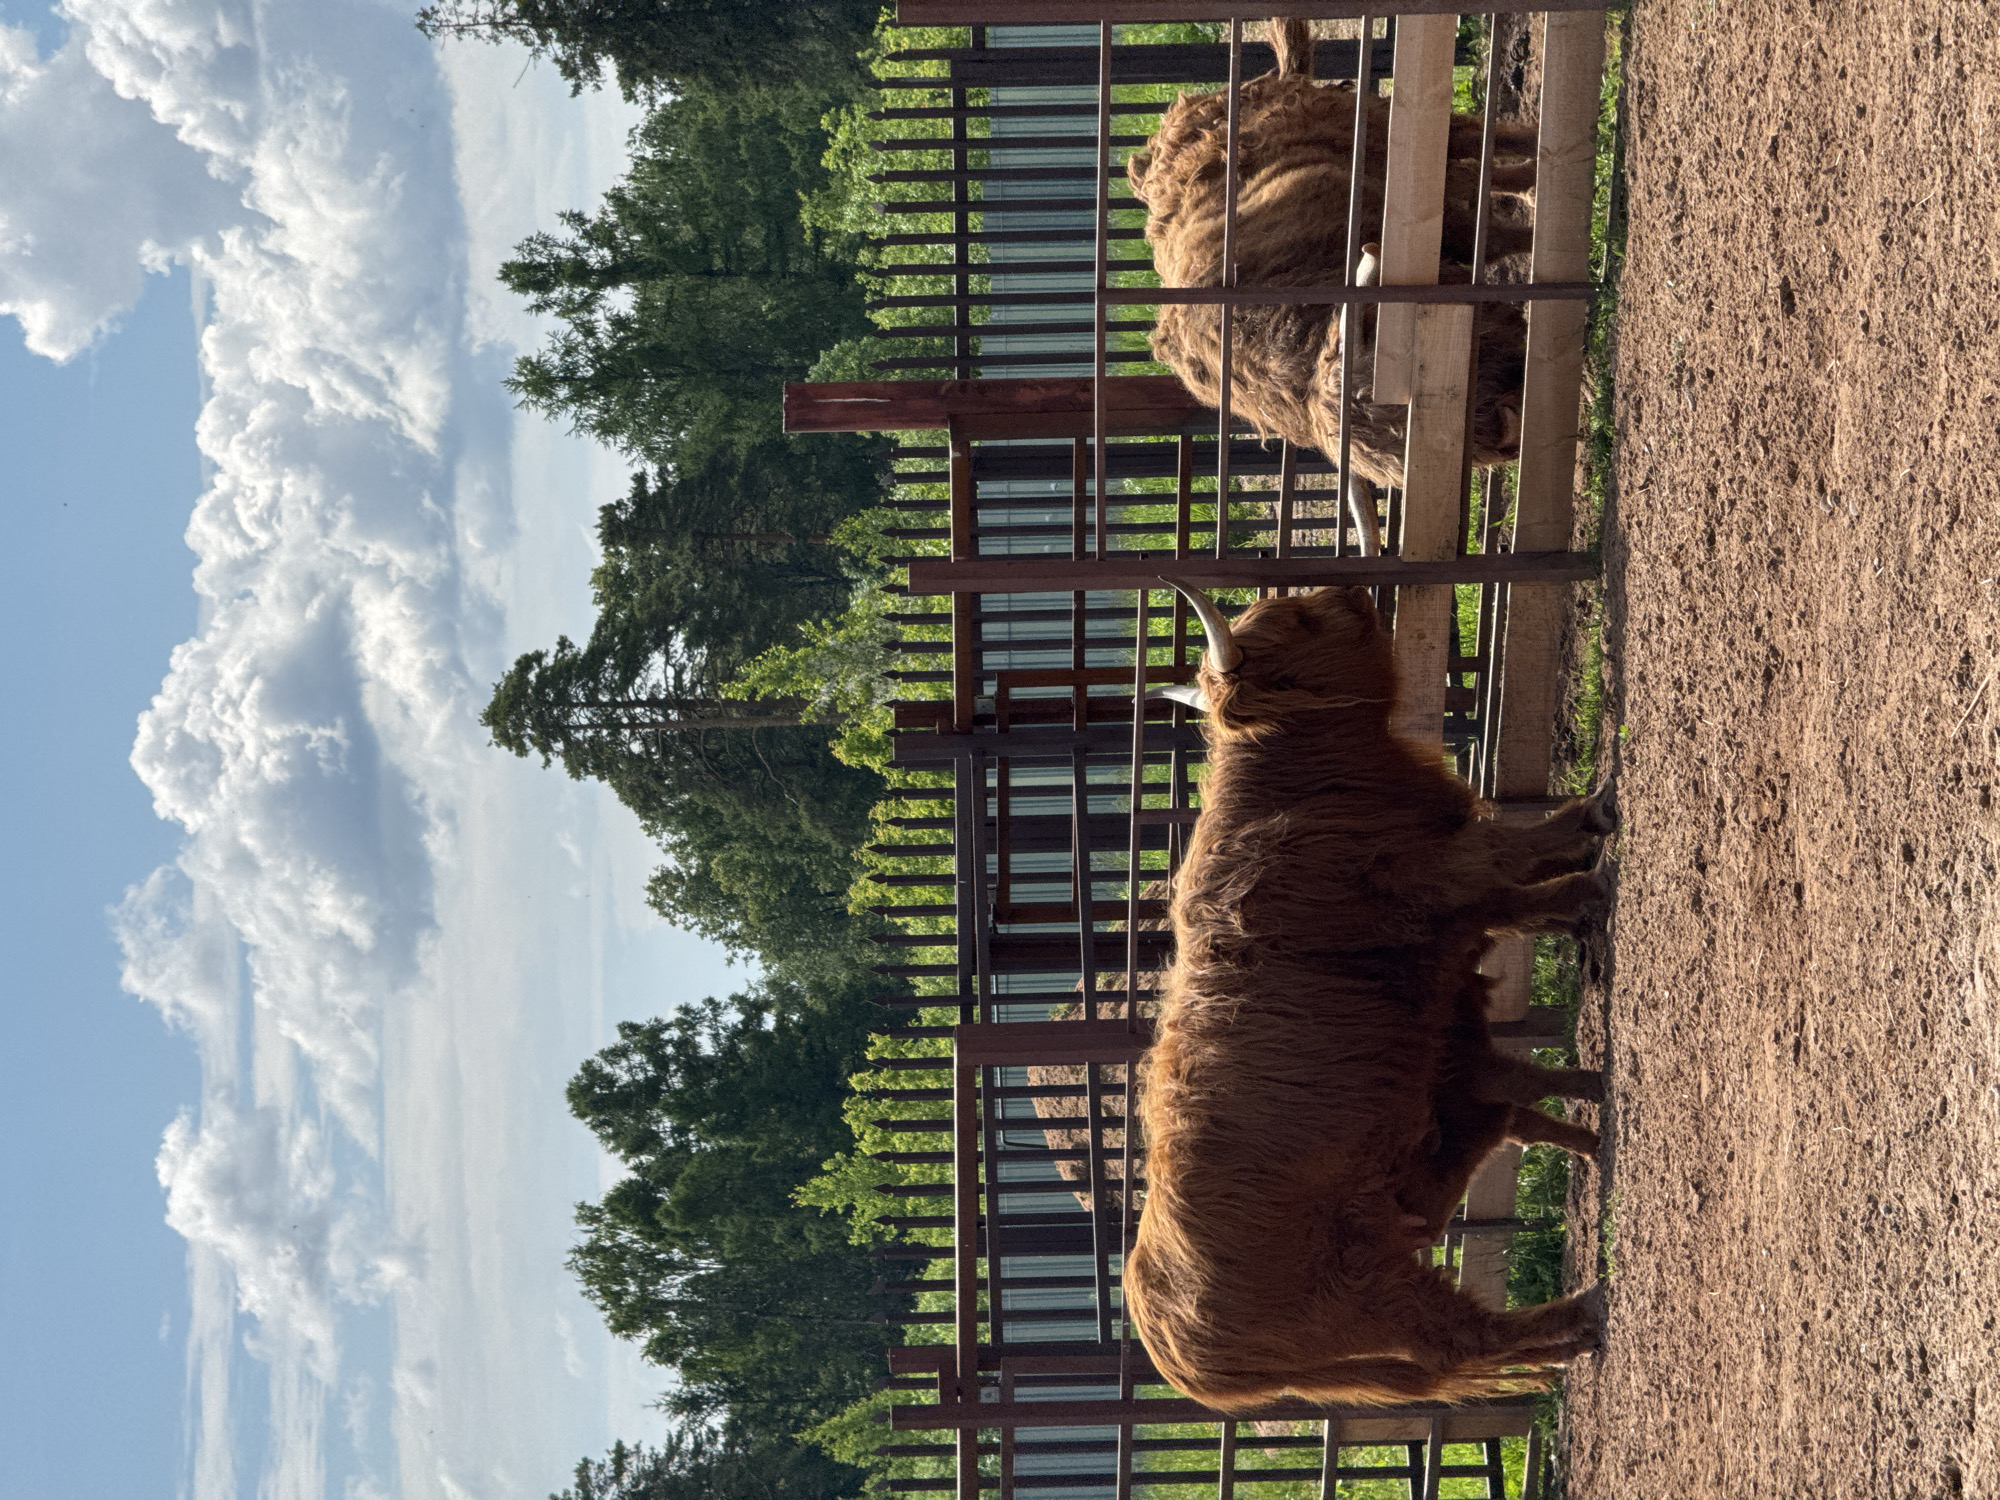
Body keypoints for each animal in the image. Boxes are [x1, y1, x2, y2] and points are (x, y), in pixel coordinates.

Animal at [1121, 581, 1612, 1411]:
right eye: (1300, 622)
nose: (1350, 588)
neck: (1291, 788)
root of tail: (1184, 1363)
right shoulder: (1444, 876)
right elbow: (1530, 852)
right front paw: (1597, 825)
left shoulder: (1456, 939)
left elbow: (1530, 913)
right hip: (1368, 1296)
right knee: (1464, 1336)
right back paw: (1584, 1313)